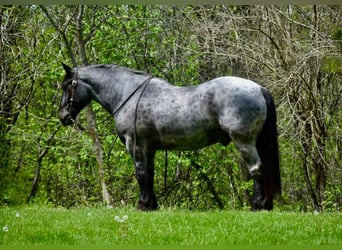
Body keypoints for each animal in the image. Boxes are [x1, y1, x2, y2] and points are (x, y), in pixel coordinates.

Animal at [58, 62, 282, 211]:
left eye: (68, 85)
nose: (63, 116)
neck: (127, 94)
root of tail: (258, 88)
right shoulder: (149, 149)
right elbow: (149, 174)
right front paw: (151, 205)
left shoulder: (135, 146)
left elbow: (140, 174)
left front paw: (142, 205)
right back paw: (266, 205)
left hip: (244, 142)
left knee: (257, 170)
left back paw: (257, 206)